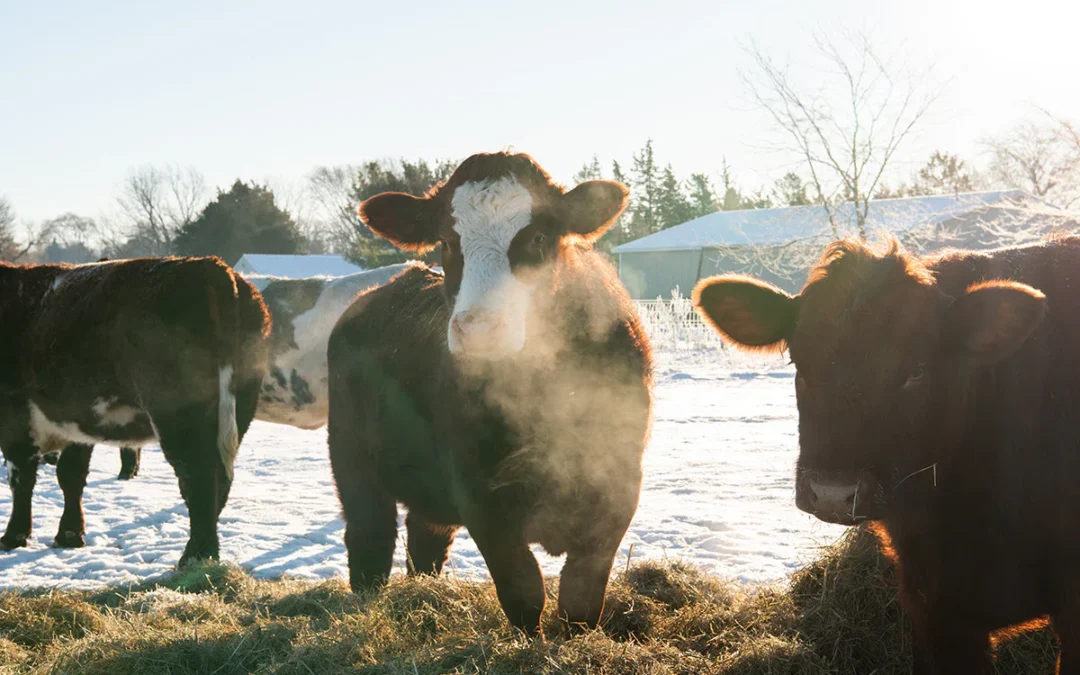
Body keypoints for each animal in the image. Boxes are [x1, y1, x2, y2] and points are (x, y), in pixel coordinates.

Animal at [0, 257, 269, 565]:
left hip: (179, 414)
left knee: (199, 474)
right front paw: (69, 535)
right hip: (238, 407)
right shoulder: (77, 421)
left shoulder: (13, 418)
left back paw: (195, 556)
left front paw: (13, 537)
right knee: (219, 481)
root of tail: (209, 266)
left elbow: (22, 479)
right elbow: (71, 476)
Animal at [327, 151, 653, 634]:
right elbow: (524, 592)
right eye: (446, 242)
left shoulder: (618, 483)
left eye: (538, 237)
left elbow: (579, 597)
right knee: (370, 538)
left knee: (425, 540)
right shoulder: (479, 494)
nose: (479, 330)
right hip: (351, 459)